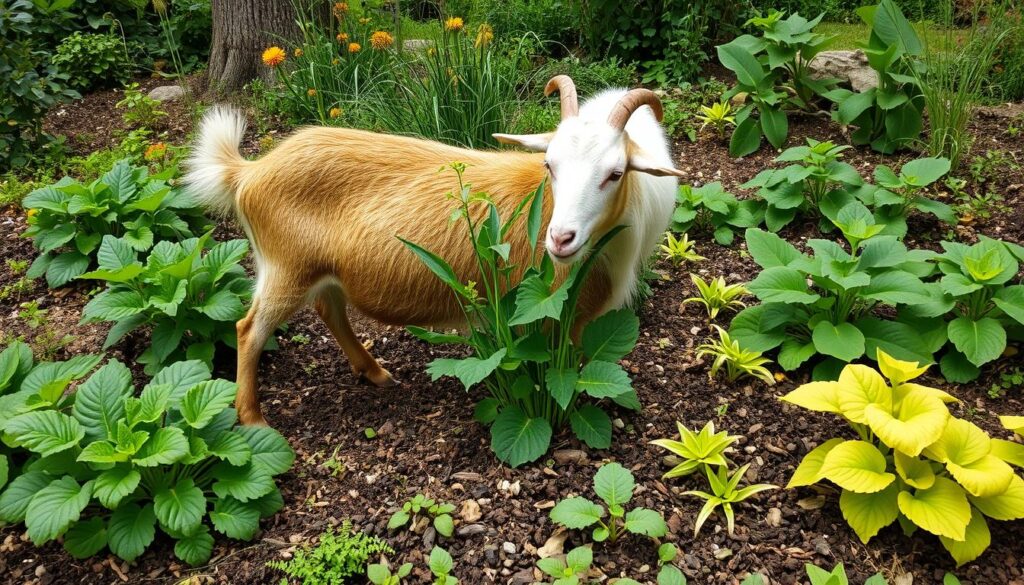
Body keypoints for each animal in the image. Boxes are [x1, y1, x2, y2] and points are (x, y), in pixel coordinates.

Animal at [184, 76, 684, 426]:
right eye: (550, 165)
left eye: (615, 173)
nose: (560, 239)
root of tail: (249, 172)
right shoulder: (554, 312)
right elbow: (562, 370)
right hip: (285, 268)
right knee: (248, 329)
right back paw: (253, 419)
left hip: (320, 270)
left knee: (330, 310)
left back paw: (375, 372)